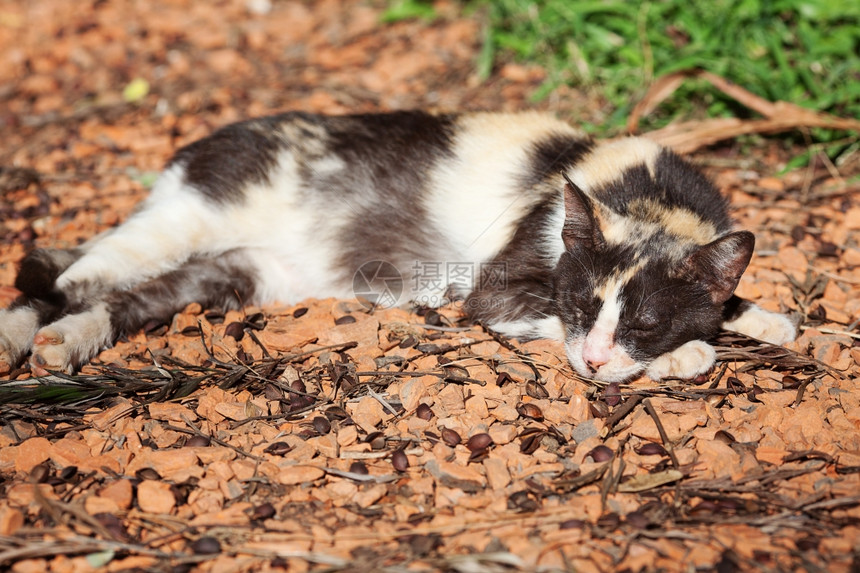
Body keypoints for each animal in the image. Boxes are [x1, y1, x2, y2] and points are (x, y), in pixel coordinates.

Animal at [0, 109, 792, 382]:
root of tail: (192, 151)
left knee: (134, 299)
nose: (599, 359)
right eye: (577, 303)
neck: (648, 197)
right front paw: (690, 355)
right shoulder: (493, 292)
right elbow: (532, 318)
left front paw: (770, 320)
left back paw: (67, 343)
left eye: (646, 320)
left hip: (238, 273)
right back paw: (25, 334)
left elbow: (733, 299)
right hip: (185, 219)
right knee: (68, 280)